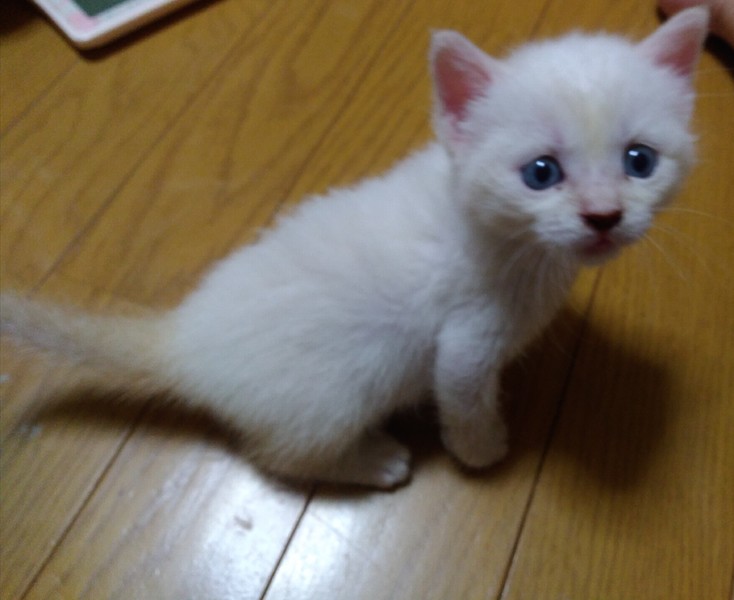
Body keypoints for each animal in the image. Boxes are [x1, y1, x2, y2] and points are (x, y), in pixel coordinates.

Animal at [0, 8, 709, 489]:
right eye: (541, 173)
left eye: (640, 161)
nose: (603, 216)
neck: (504, 242)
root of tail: (185, 339)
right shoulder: (464, 345)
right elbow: (465, 404)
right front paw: (484, 451)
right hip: (333, 396)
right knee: (278, 457)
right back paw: (377, 460)